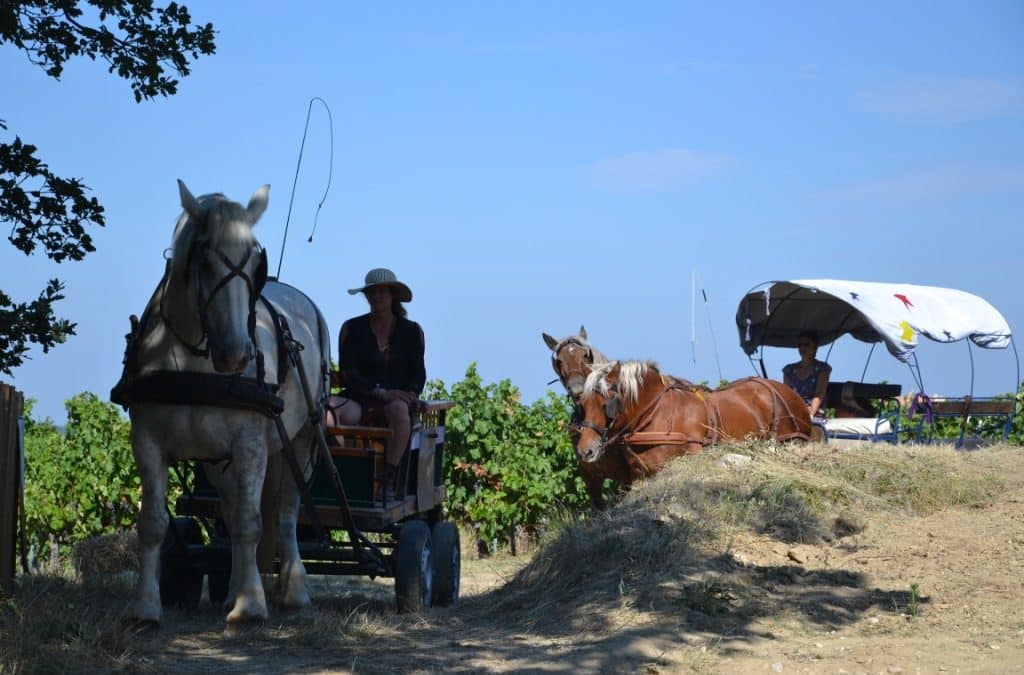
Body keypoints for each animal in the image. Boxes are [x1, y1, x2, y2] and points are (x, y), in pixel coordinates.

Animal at [112, 181, 330, 627]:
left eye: (256, 266)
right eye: (204, 260)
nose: (236, 355)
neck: (196, 358)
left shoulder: (251, 443)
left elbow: (251, 522)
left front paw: (250, 607)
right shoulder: (147, 440)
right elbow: (154, 523)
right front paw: (146, 606)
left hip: (300, 442)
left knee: (285, 513)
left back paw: (293, 590)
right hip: (217, 461)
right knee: (231, 510)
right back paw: (232, 590)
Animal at [575, 360, 811, 486]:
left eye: (605, 405)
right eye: (582, 404)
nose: (585, 451)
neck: (659, 415)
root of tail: (790, 393)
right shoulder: (639, 476)